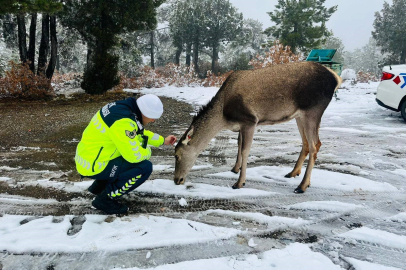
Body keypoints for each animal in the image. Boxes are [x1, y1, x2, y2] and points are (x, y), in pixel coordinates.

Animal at [173, 62, 340, 193]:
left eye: (177, 155)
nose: (176, 180)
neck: (223, 117)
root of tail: (336, 78)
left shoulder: (250, 120)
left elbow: (245, 150)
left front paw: (239, 183)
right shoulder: (241, 125)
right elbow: (239, 145)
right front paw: (235, 169)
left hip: (313, 110)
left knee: (315, 145)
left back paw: (302, 186)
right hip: (299, 116)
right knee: (306, 143)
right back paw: (293, 173)